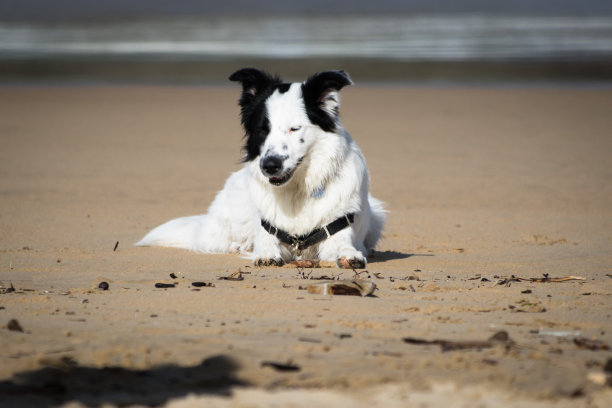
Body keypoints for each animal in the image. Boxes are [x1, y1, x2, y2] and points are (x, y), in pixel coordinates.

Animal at [136, 68, 384, 270]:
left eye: (294, 128)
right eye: (263, 129)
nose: (269, 166)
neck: (297, 191)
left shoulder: (336, 228)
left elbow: (344, 246)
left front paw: (351, 255)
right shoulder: (268, 229)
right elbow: (265, 244)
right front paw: (265, 254)